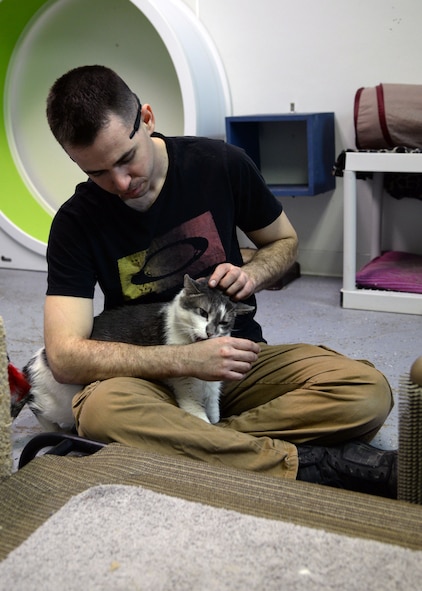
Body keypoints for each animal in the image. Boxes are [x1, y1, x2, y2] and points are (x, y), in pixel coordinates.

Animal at [23, 276, 254, 432]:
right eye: (203, 312)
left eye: (224, 322)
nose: (210, 332)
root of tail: (39, 359)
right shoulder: (184, 382)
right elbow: (194, 408)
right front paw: (205, 423)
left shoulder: (213, 381)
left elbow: (213, 398)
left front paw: (215, 418)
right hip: (62, 403)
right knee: (36, 406)